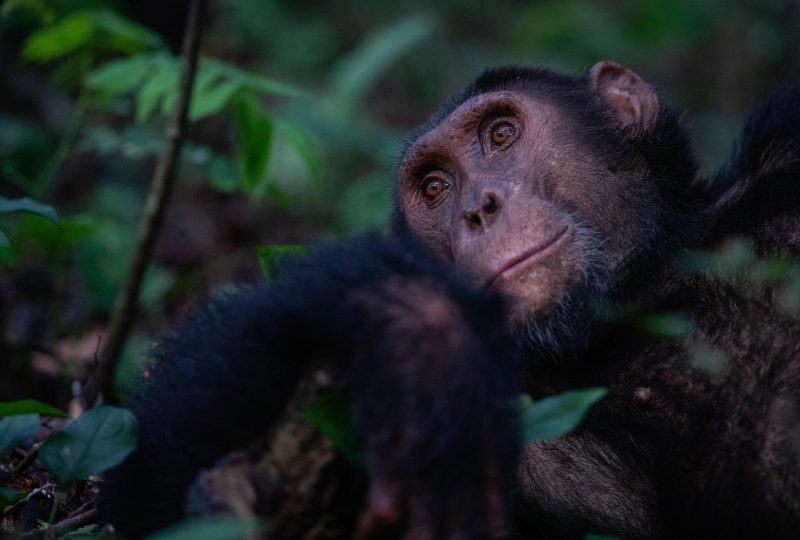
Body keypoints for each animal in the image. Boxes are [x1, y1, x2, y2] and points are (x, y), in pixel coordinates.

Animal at [99, 61, 800, 539]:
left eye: (501, 134)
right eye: (435, 187)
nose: (477, 209)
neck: (642, 295)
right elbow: (161, 476)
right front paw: (421, 335)